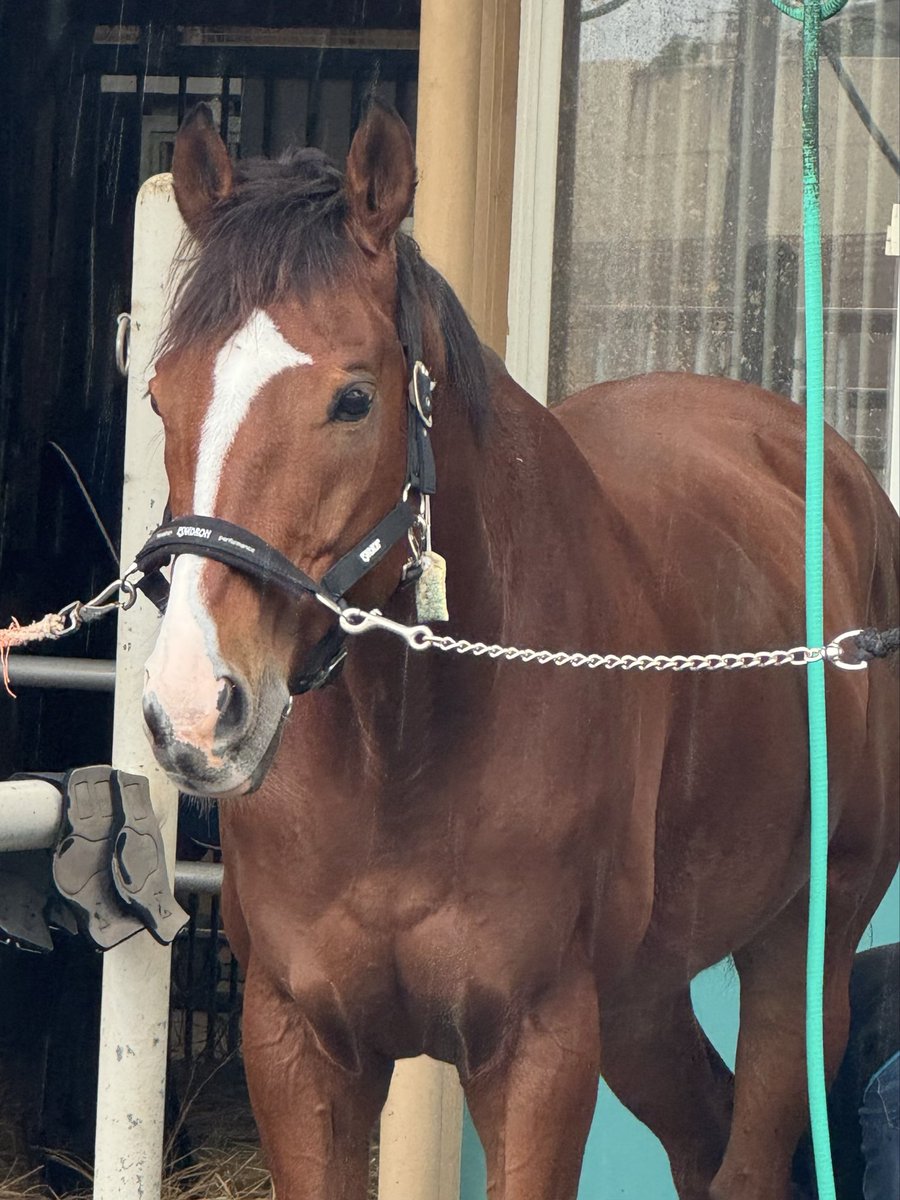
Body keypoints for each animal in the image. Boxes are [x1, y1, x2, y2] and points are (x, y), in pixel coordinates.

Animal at [138, 101, 899, 1200]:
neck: (401, 760)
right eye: (161, 395)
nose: (194, 709)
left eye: (354, 399)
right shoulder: (296, 1044)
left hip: (803, 952)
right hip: (642, 998)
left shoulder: (540, 1048)